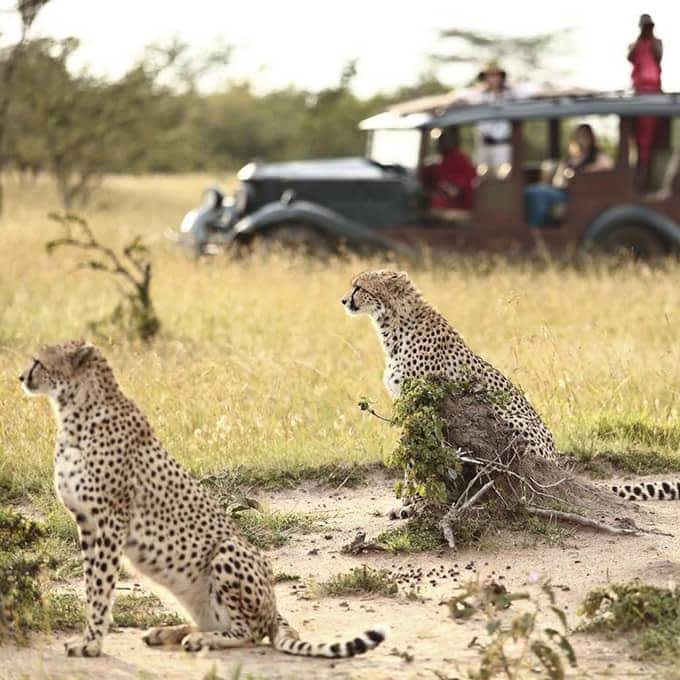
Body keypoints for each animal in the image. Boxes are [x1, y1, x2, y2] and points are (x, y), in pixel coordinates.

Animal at [18, 340, 386, 660]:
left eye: (38, 361)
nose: (21, 377)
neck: (76, 411)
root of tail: (274, 607)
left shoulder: (109, 522)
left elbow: (100, 587)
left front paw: (91, 644)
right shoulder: (87, 523)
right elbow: (91, 584)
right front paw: (91, 637)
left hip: (228, 550)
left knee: (249, 633)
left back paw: (202, 639)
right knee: (213, 620)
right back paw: (169, 631)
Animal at [340, 268, 556, 516]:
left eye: (359, 287)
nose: (343, 300)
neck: (395, 324)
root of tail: (556, 460)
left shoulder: (422, 404)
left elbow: (415, 455)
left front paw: (414, 500)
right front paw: (409, 499)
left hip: (511, 420)